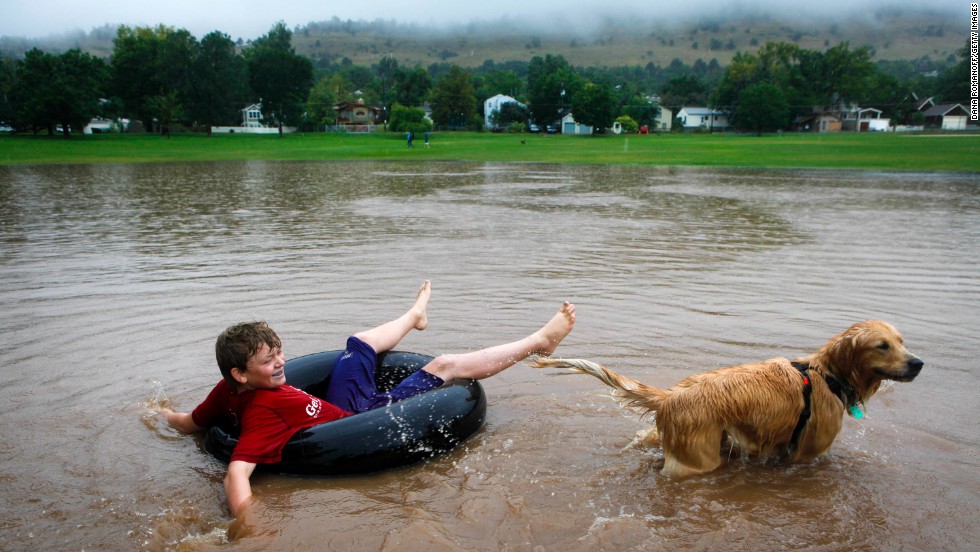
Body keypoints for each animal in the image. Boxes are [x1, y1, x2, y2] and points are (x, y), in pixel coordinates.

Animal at [532, 322, 924, 476]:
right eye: (882, 346)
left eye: (901, 341)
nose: (918, 363)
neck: (827, 374)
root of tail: (669, 396)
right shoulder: (808, 452)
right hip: (697, 460)